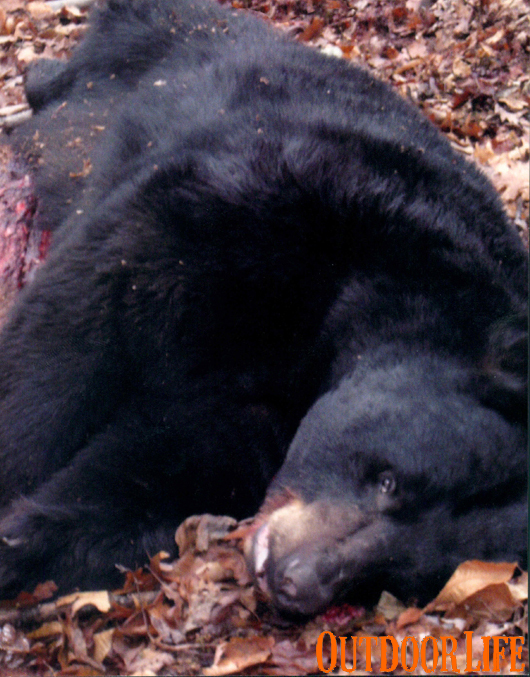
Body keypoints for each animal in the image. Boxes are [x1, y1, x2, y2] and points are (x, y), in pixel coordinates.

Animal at [0, 0, 526, 613]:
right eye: (390, 479)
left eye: (404, 573)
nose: (298, 580)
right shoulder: (279, 202)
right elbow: (84, 317)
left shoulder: (265, 420)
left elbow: (163, 468)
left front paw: (25, 543)